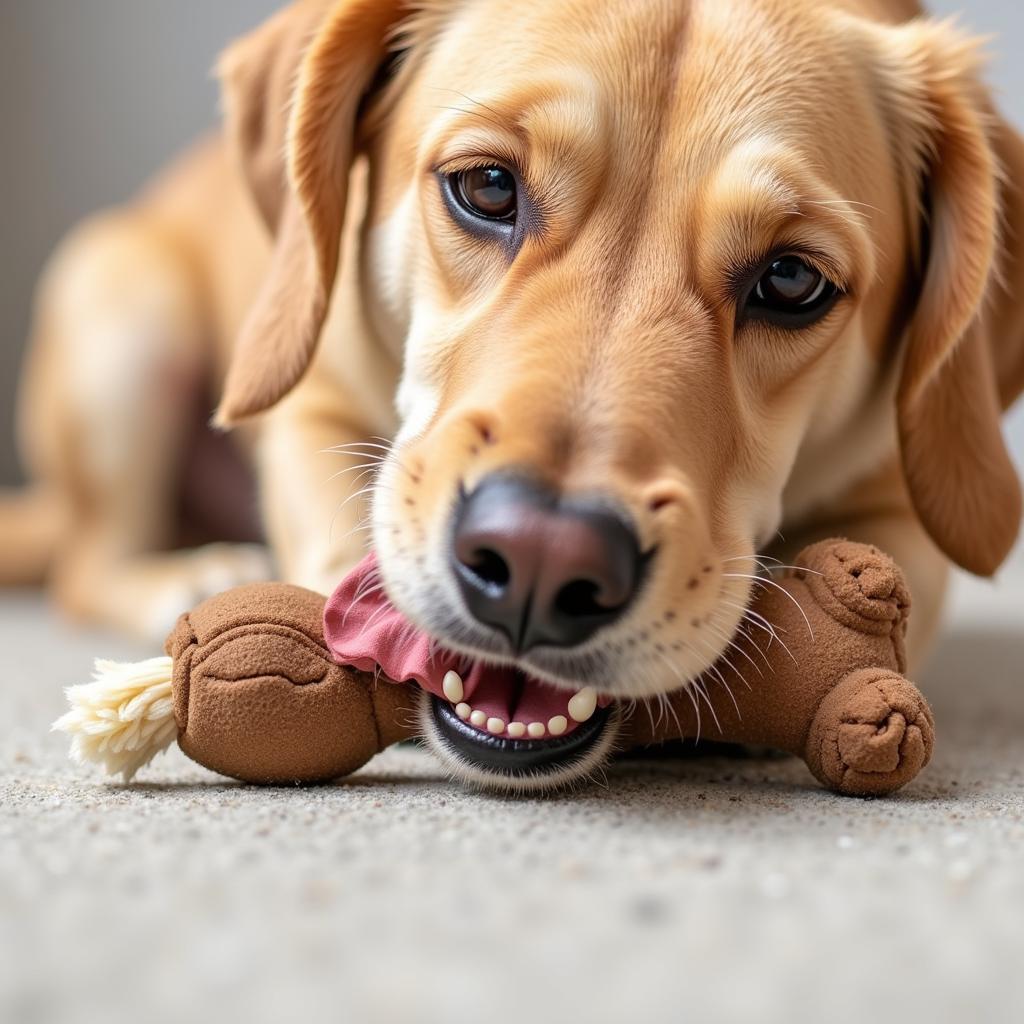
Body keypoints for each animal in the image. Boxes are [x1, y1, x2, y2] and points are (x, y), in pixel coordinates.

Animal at [2, 0, 1024, 790]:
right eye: (488, 187)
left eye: (792, 280)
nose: (540, 561)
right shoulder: (310, 404)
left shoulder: (902, 509)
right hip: (125, 318)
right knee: (86, 563)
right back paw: (188, 575)